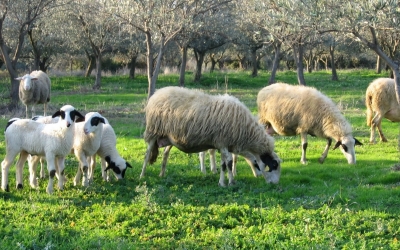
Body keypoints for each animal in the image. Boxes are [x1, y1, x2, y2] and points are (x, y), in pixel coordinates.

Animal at [141, 87, 282, 187]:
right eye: (274, 165)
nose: (274, 184)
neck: (247, 131)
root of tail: (157, 93)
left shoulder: (223, 144)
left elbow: (224, 164)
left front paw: (222, 182)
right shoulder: (223, 141)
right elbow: (228, 163)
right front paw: (230, 183)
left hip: (169, 137)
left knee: (165, 154)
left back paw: (162, 174)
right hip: (153, 131)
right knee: (147, 155)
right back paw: (142, 176)